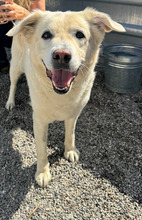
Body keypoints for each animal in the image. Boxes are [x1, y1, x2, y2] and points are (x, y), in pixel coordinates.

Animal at [5, 9, 125, 187]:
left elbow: (70, 134)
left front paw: (70, 151)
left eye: (80, 34)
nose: (61, 55)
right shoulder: (39, 121)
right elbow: (42, 149)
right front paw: (42, 172)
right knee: (12, 83)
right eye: (46, 35)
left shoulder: (73, 115)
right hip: (16, 66)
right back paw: (10, 102)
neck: (60, 94)